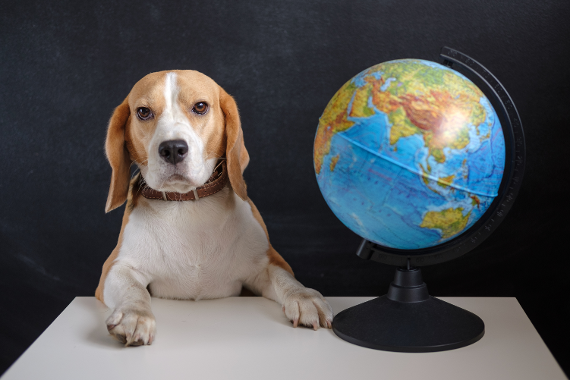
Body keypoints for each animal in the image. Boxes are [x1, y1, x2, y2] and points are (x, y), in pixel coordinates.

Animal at [93, 70, 332, 346]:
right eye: (143, 112)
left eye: (200, 107)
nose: (172, 148)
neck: (188, 208)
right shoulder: (115, 269)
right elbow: (133, 289)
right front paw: (134, 314)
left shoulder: (267, 263)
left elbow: (286, 279)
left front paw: (304, 297)